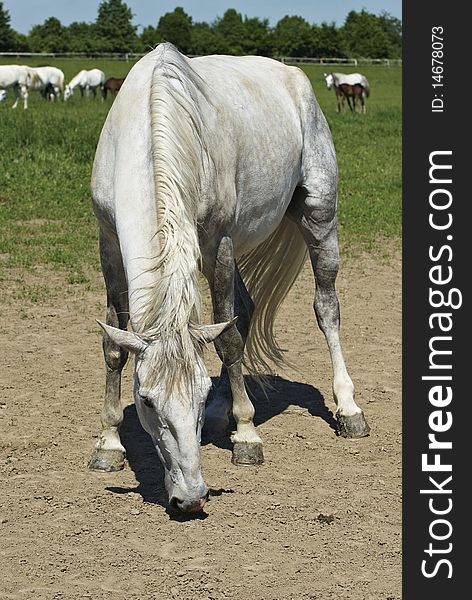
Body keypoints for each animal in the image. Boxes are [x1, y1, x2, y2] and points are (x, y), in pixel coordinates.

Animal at [88, 43, 368, 516]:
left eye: (197, 396)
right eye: (146, 401)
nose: (191, 497)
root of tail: (295, 78)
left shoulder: (217, 241)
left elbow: (230, 340)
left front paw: (248, 436)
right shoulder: (109, 241)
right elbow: (115, 346)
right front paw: (109, 444)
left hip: (317, 216)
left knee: (325, 308)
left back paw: (348, 410)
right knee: (244, 309)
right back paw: (228, 412)